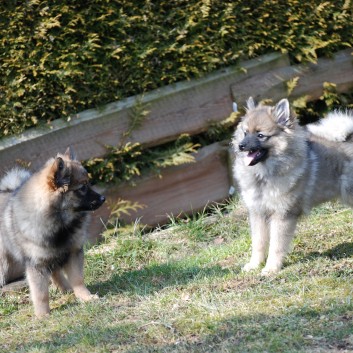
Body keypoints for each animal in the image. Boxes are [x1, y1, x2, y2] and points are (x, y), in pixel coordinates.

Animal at [0, 147, 104, 318]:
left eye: (88, 184)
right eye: (82, 188)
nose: (103, 198)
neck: (59, 224)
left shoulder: (72, 252)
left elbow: (78, 279)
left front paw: (85, 297)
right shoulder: (37, 264)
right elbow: (40, 293)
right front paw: (43, 315)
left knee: (56, 273)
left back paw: (66, 288)